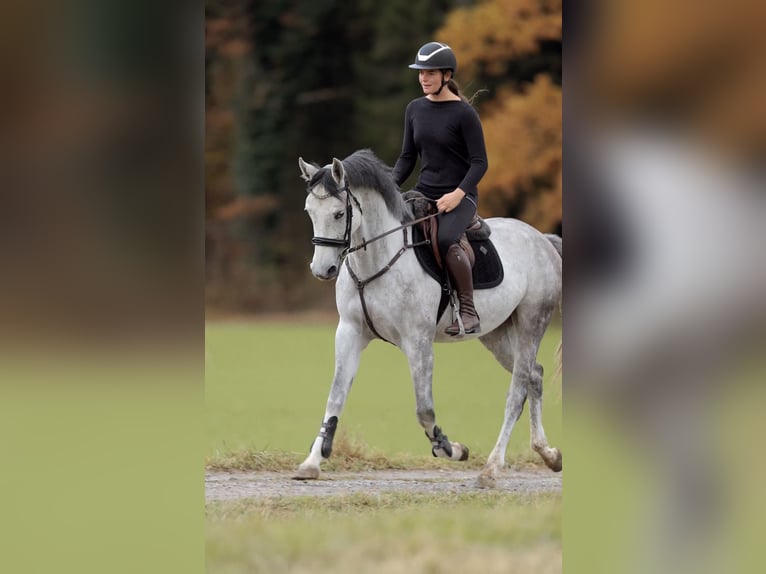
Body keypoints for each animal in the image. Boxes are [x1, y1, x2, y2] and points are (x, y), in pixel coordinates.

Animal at [295, 149, 562, 487]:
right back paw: (548, 454)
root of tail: (541, 239)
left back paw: (491, 469)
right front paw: (312, 462)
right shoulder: (350, 333)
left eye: (339, 214)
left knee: (517, 391)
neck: (378, 260)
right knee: (535, 376)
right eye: (309, 212)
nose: (322, 270)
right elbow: (335, 398)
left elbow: (424, 410)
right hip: (496, 334)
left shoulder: (417, 341)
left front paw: (452, 449)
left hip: (531, 322)